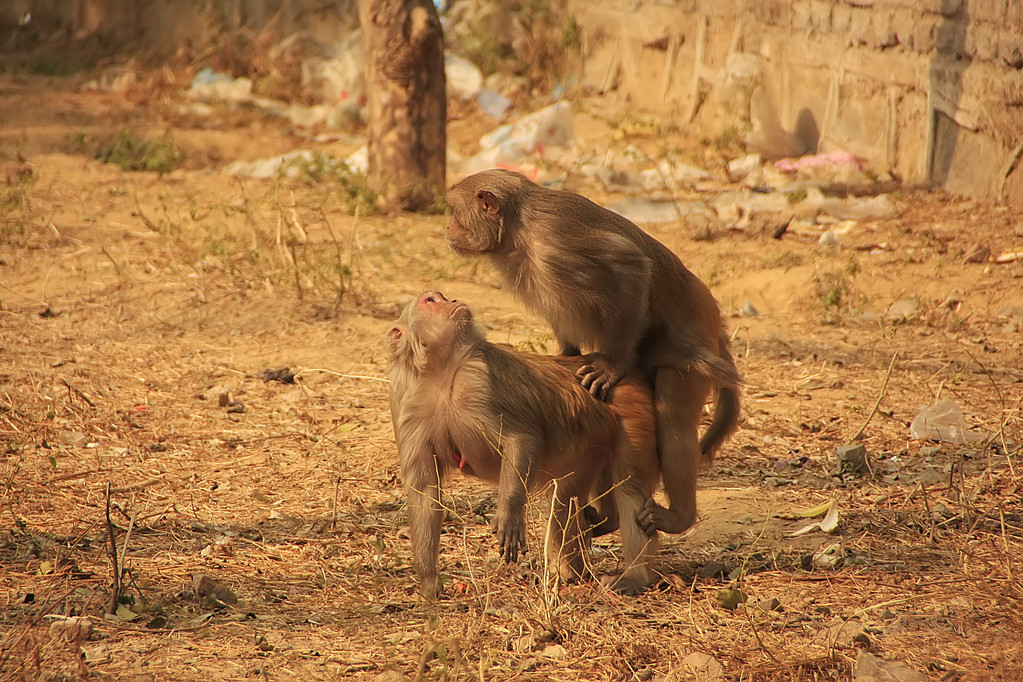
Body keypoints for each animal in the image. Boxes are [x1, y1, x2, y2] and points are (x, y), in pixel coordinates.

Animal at [384, 290, 662, 601]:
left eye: (441, 297)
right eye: (431, 301)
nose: (453, 301)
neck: (440, 374)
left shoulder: (476, 379)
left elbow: (521, 438)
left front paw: (509, 515)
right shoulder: (405, 400)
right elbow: (424, 490)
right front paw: (430, 581)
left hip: (631, 409)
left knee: (627, 488)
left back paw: (633, 576)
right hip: (592, 441)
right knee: (567, 496)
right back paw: (575, 565)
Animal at [443, 167, 740, 535]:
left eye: (455, 211)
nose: (447, 229)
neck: (517, 229)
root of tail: (713, 316)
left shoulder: (556, 244)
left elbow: (630, 266)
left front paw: (612, 366)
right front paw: (566, 358)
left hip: (694, 341)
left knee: (673, 412)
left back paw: (678, 515)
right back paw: (608, 516)